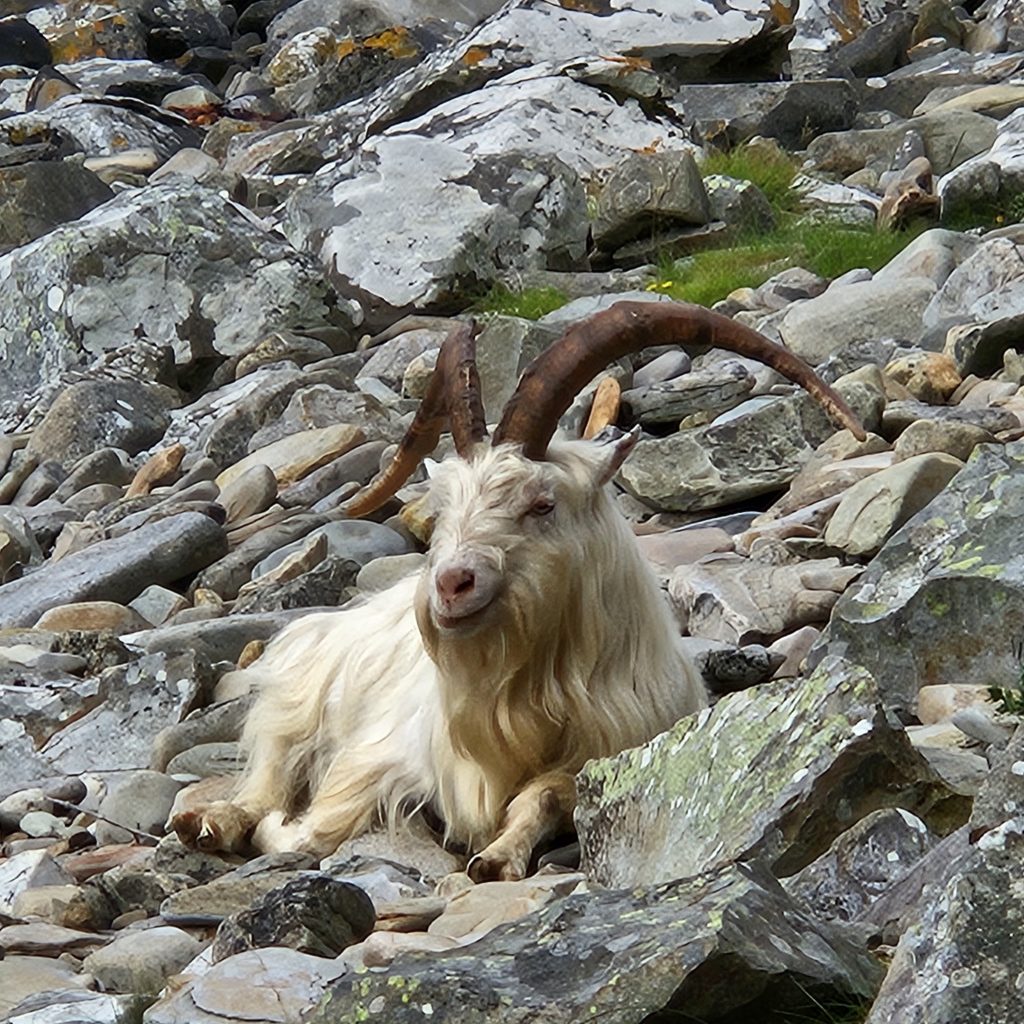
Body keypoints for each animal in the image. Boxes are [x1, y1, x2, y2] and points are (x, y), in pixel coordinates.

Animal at [172, 300, 865, 880]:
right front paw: (276, 832)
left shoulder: (607, 748)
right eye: (442, 506)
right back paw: (211, 823)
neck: (525, 697)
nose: (451, 585)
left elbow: (546, 797)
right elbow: (319, 825)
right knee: (266, 772)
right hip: (296, 700)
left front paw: (498, 857)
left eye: (542, 503)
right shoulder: (378, 755)